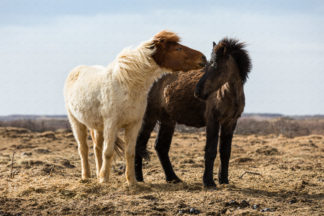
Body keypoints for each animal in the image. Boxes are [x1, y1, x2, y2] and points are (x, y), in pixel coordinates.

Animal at [63, 30, 205, 186]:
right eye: (178, 48)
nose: (203, 58)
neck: (126, 84)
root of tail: (76, 70)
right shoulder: (111, 124)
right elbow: (108, 152)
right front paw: (105, 180)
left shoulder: (134, 124)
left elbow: (130, 152)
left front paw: (131, 181)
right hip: (76, 122)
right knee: (83, 148)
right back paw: (86, 176)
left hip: (97, 126)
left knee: (97, 148)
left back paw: (98, 173)